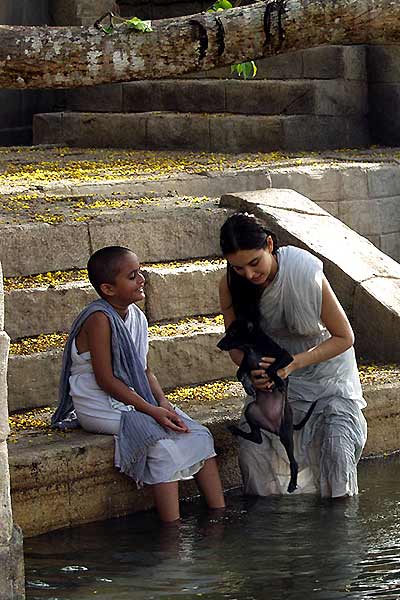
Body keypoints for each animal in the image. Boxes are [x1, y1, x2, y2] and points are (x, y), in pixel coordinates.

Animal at [219, 322, 316, 494]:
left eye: (232, 333)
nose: (219, 345)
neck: (251, 347)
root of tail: (272, 427)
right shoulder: (245, 365)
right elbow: (240, 373)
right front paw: (249, 385)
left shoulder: (285, 356)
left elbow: (271, 368)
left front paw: (278, 381)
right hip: (251, 411)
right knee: (257, 437)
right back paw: (235, 430)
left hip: (285, 432)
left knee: (294, 462)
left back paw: (292, 484)